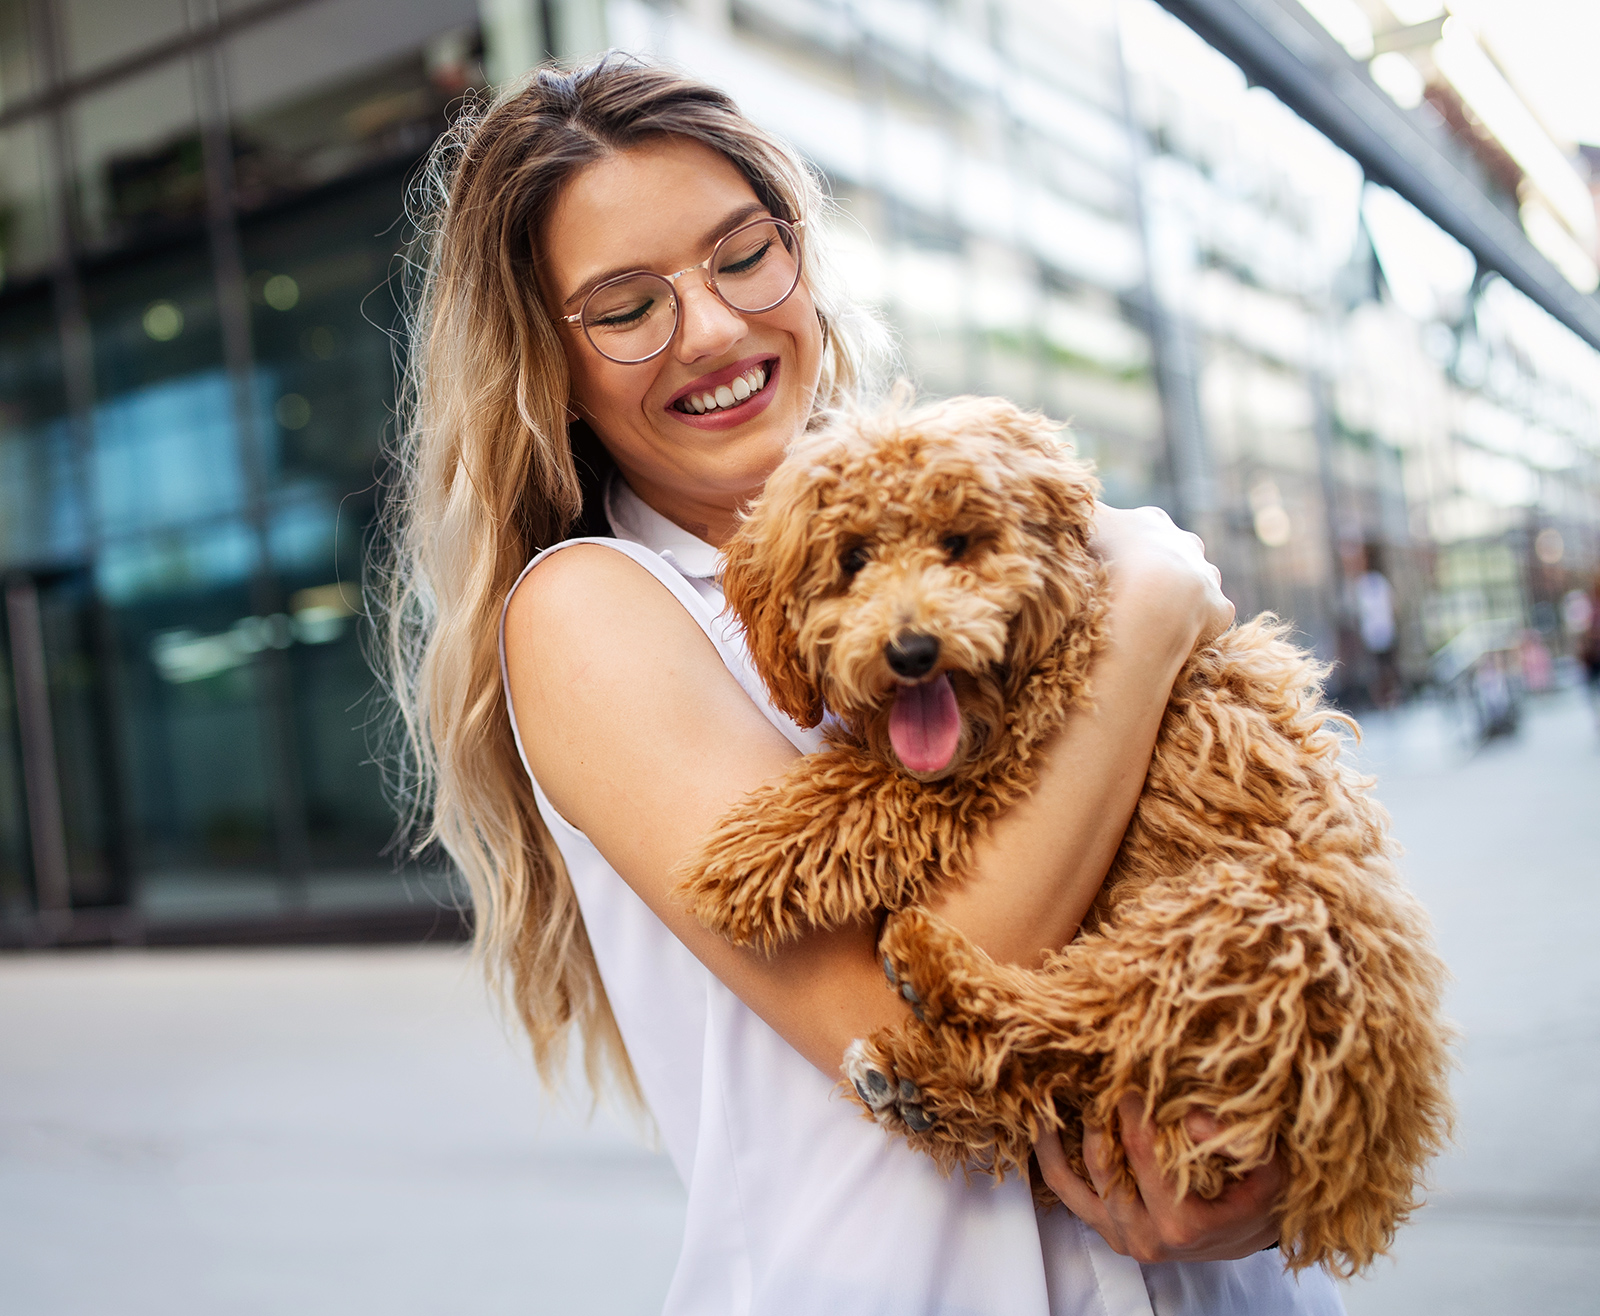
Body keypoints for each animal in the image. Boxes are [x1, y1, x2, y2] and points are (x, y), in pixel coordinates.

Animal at [668, 393, 1459, 1280]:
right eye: (853, 557)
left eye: (959, 543)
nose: (912, 651)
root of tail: (1364, 1148)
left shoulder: (1006, 753)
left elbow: (869, 788)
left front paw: (745, 860)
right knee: (1068, 1081)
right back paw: (915, 1088)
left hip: (1244, 919)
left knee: (1085, 1020)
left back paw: (928, 978)